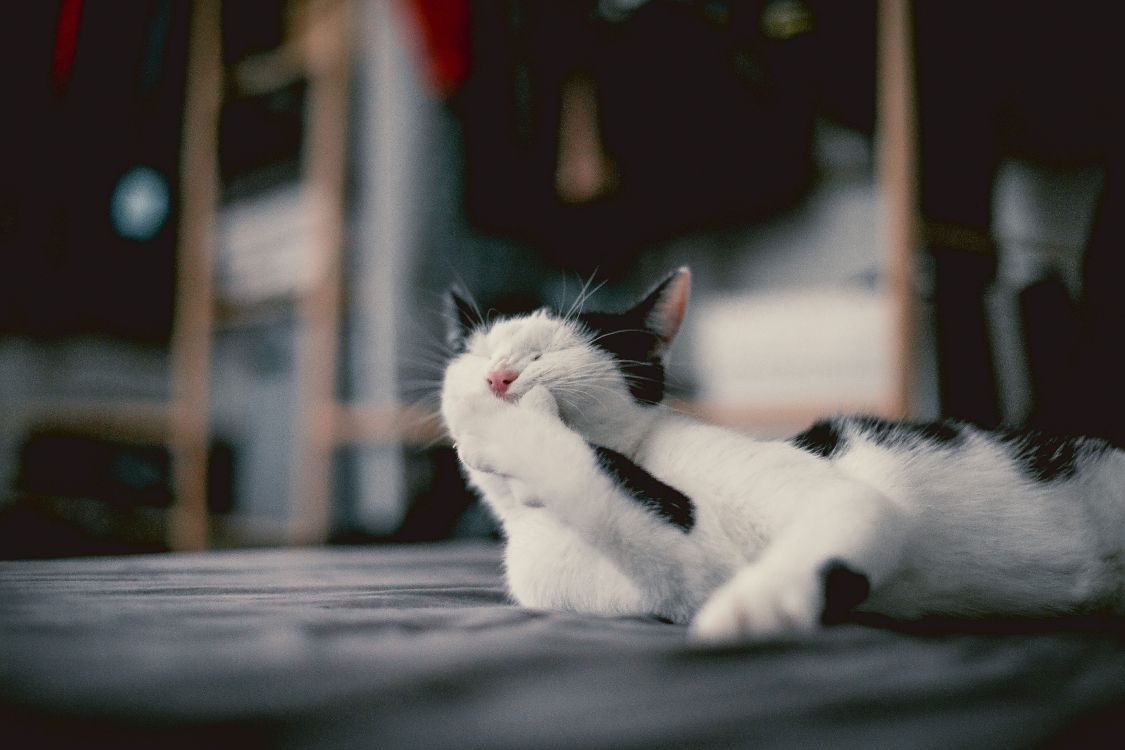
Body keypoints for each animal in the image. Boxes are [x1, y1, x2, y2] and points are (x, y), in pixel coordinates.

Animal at [438, 266, 1125, 643]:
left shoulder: (842, 497)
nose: (497, 377)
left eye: (550, 351)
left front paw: (757, 606)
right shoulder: (671, 577)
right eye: (480, 354)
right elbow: (626, 511)